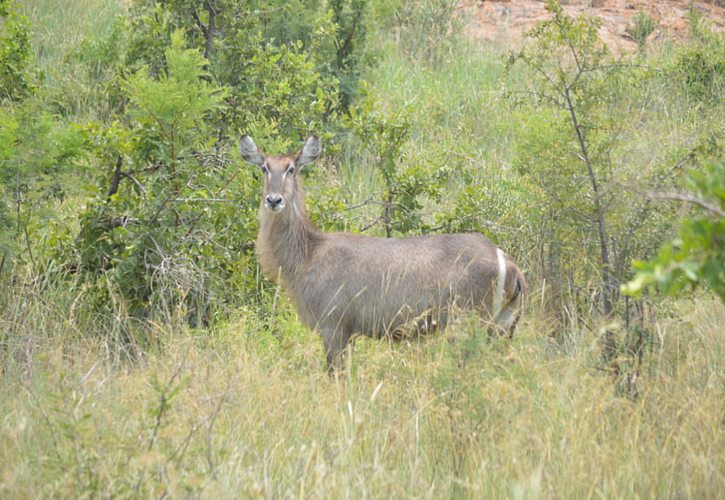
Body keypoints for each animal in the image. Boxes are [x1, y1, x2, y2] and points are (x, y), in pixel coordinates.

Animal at [240, 136, 524, 372]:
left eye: (291, 168)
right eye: (264, 167)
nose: (274, 200)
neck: (307, 255)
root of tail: (509, 264)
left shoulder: (334, 326)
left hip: (469, 322)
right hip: (503, 326)